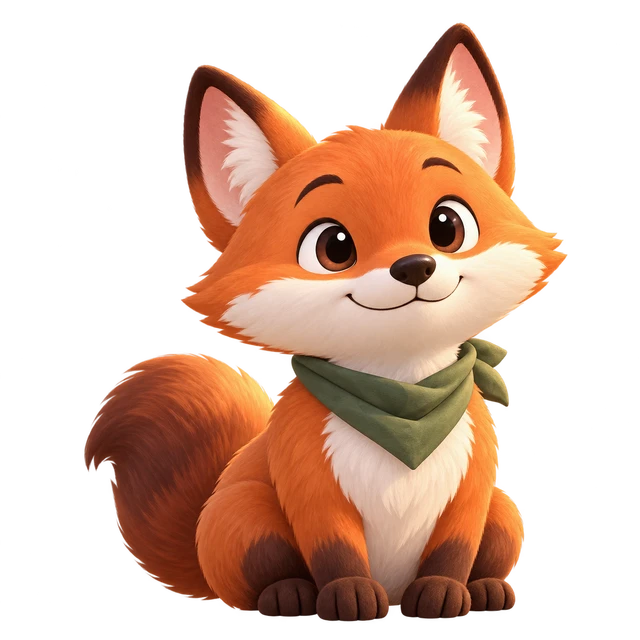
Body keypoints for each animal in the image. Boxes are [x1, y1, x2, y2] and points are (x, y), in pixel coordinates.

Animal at [83, 21, 566, 622]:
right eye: (334, 247)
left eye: (446, 226)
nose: (415, 266)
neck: (402, 397)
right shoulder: (310, 482)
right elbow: (334, 549)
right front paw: (348, 597)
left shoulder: (473, 484)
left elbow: (453, 550)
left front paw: (444, 594)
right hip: (245, 515)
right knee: (261, 578)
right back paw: (289, 596)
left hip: (503, 515)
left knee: (490, 549)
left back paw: (487, 591)